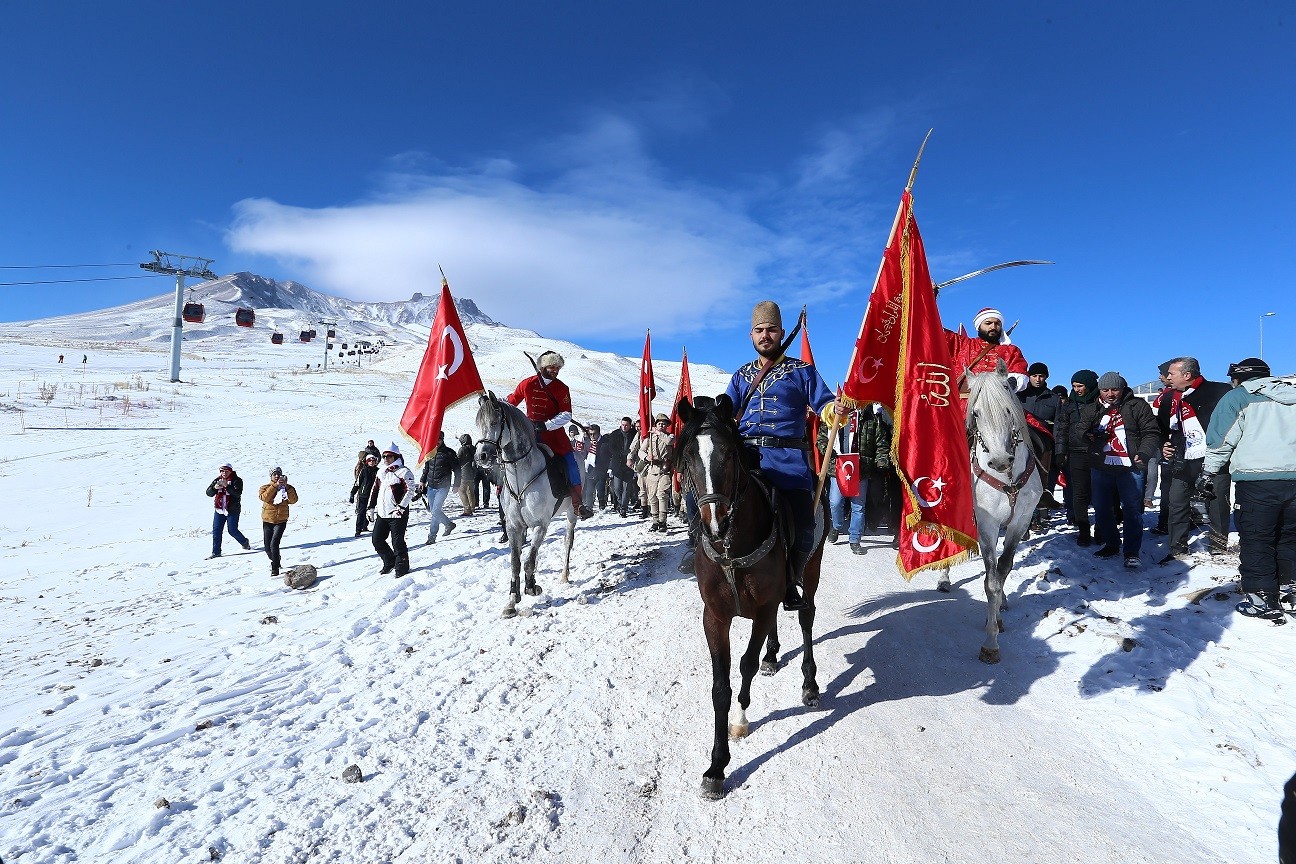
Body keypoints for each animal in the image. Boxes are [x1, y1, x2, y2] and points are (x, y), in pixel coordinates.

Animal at [476, 391, 578, 621]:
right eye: (478, 424)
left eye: (494, 422)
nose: (481, 456)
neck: (520, 477)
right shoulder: (514, 527)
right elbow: (516, 561)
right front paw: (512, 601)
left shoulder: (540, 525)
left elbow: (529, 560)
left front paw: (532, 587)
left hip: (571, 512)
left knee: (567, 542)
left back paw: (564, 575)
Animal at [673, 396, 824, 803]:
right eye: (688, 455)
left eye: (728, 452)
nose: (715, 522)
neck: (733, 545)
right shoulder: (715, 617)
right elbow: (720, 688)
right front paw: (716, 767)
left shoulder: (763, 608)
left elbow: (745, 665)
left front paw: (740, 722)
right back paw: (774, 656)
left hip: (812, 567)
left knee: (806, 617)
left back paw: (809, 684)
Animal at [938, 357, 1036, 663]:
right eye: (977, 413)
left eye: (1008, 409)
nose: (1000, 460)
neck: (1007, 479)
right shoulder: (987, 525)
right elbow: (990, 580)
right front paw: (990, 642)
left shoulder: (1019, 522)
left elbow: (1003, 569)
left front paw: (999, 613)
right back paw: (943, 578)